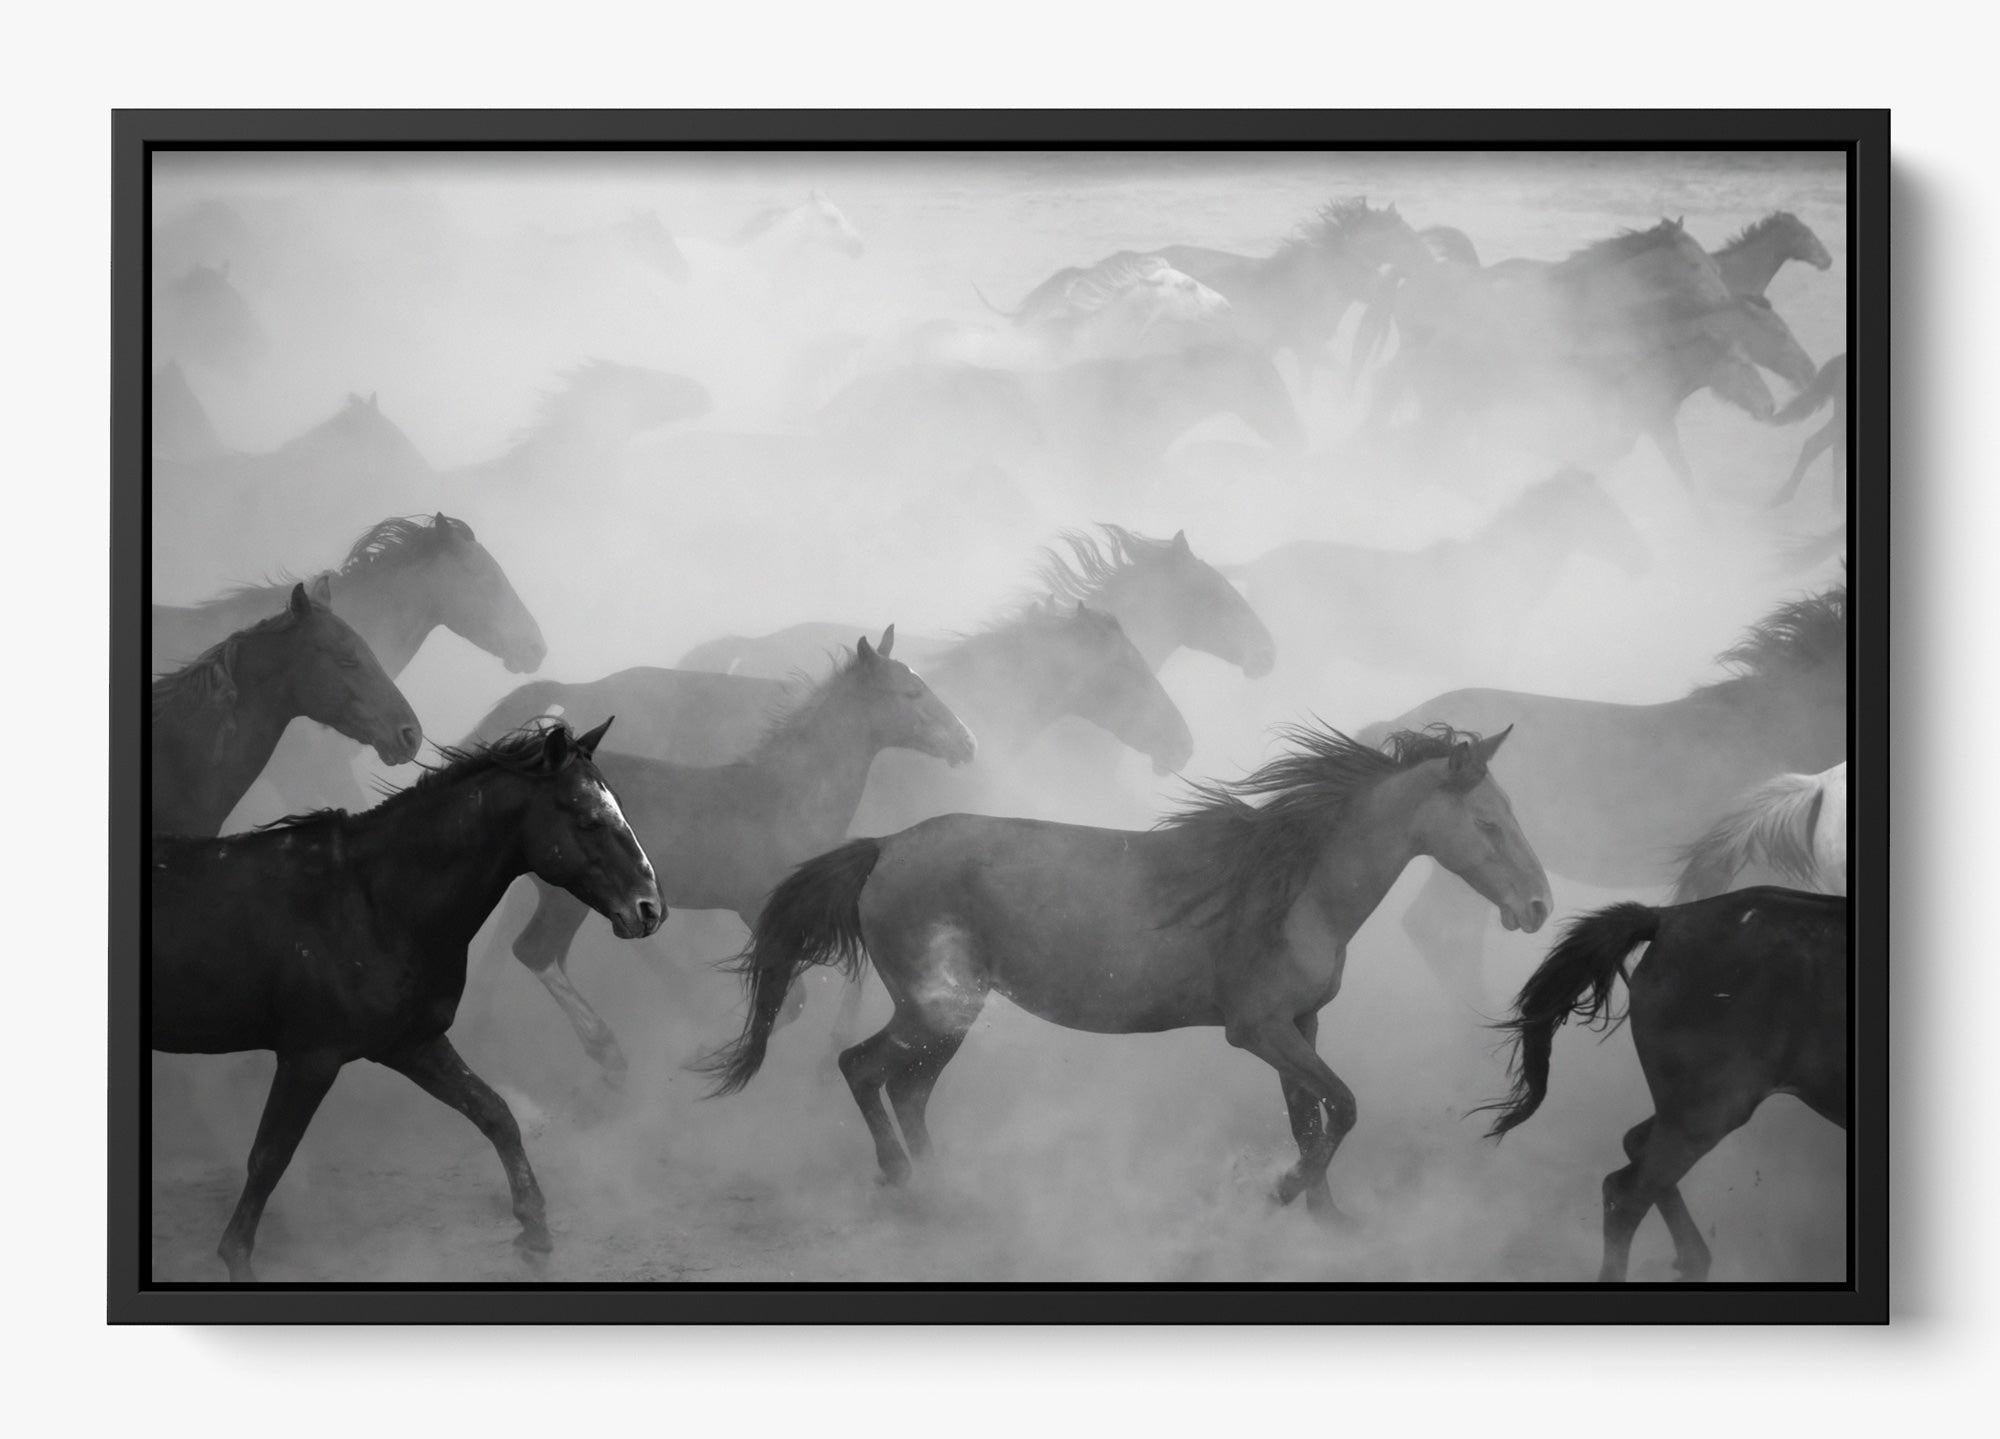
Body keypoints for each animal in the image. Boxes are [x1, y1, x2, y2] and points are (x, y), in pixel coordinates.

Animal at [153, 718, 663, 1280]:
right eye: (589, 819)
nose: (649, 908)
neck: (374, 902)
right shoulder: (311, 1057)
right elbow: (269, 1158)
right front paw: (237, 1258)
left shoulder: (412, 1044)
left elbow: (494, 1113)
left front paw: (535, 1232)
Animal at [500, 629, 977, 1080]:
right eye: (910, 693)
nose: (968, 741)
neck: (790, 798)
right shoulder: (757, 908)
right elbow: (792, 1001)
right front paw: (701, 1050)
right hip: (564, 900)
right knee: (533, 952)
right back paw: (608, 1053)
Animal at [698, 724, 1549, 1220]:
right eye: (1488, 823)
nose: (1538, 905)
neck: (1297, 886)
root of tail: (886, 846)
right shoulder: (1260, 1029)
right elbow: (1341, 1107)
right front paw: (1285, 1191)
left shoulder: (1301, 1026)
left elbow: (1312, 1118)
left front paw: (1326, 1217)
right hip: (934, 1008)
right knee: (863, 1067)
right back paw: (906, 1180)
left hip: (951, 1014)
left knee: (905, 1086)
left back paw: (947, 1186)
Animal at [1481, 889, 1847, 1281]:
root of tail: (1667, 918)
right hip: (1706, 1112)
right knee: (1626, 1195)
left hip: (1688, 1109)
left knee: (1635, 1146)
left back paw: (1693, 1261)